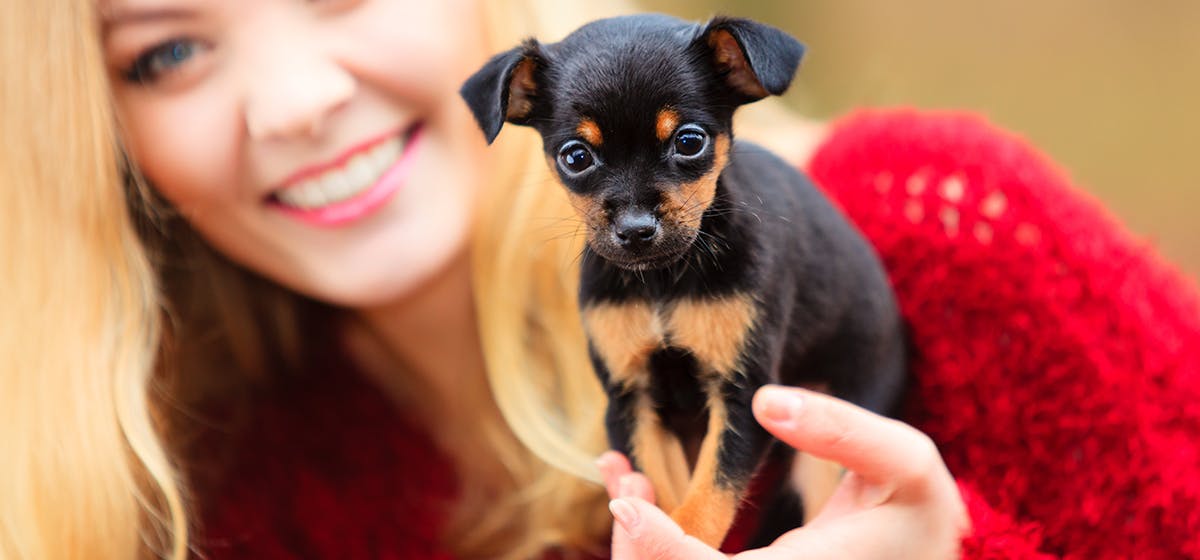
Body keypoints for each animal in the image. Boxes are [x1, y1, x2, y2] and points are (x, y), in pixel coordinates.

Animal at [458, 15, 902, 549]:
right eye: (576, 157)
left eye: (689, 142)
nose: (635, 229)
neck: (661, 282)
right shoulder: (635, 401)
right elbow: (664, 492)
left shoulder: (742, 395)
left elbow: (708, 496)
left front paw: (683, 534)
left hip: (832, 433)